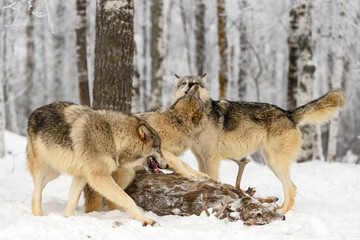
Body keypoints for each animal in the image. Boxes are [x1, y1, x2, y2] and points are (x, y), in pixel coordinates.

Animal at [26, 102, 167, 226]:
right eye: (159, 147)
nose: (166, 166)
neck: (113, 137)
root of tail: (34, 112)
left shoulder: (83, 176)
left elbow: (72, 202)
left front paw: (68, 220)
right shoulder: (100, 177)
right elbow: (128, 199)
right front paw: (145, 220)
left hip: (55, 172)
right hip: (45, 172)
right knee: (36, 196)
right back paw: (38, 217)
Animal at [84, 85, 210, 213]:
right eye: (192, 95)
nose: (195, 85)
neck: (177, 124)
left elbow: (185, 164)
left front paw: (200, 175)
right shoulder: (163, 150)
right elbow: (178, 162)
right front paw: (189, 175)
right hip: (128, 173)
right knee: (109, 198)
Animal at [173, 73, 348, 214]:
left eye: (196, 83)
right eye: (184, 83)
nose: (191, 85)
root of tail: (288, 114)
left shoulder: (211, 158)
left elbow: (212, 179)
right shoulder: (200, 158)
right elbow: (202, 178)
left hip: (276, 163)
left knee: (291, 190)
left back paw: (281, 213)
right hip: (271, 164)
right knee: (294, 188)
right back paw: (278, 208)